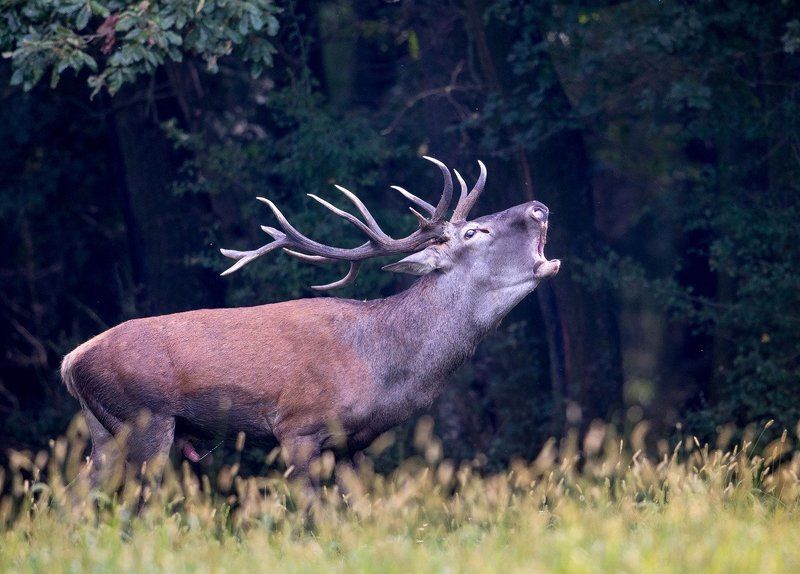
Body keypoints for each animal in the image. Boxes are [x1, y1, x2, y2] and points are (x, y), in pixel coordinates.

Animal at [60, 157, 560, 484]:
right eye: (475, 231)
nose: (539, 206)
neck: (382, 364)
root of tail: (70, 362)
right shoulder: (297, 428)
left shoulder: (351, 444)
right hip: (146, 421)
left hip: (104, 433)